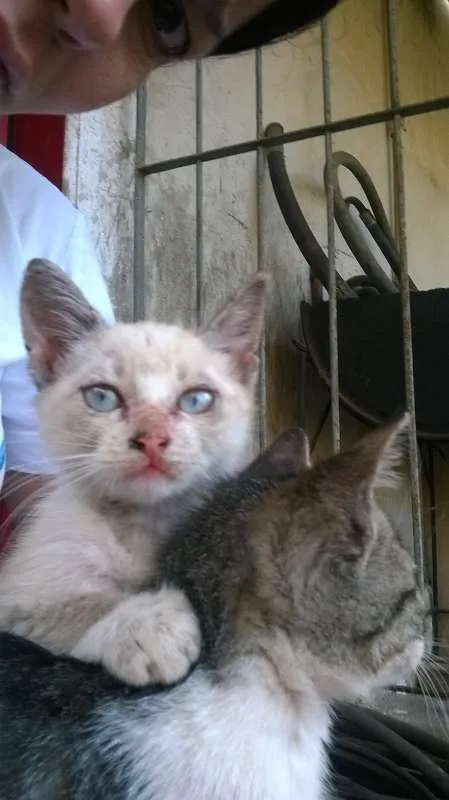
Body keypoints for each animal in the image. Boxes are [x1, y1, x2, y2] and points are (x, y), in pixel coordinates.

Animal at [0, 260, 266, 688]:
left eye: (196, 400)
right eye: (101, 397)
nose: (152, 439)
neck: (142, 525)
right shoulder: (17, 595)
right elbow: (71, 607)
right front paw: (150, 626)